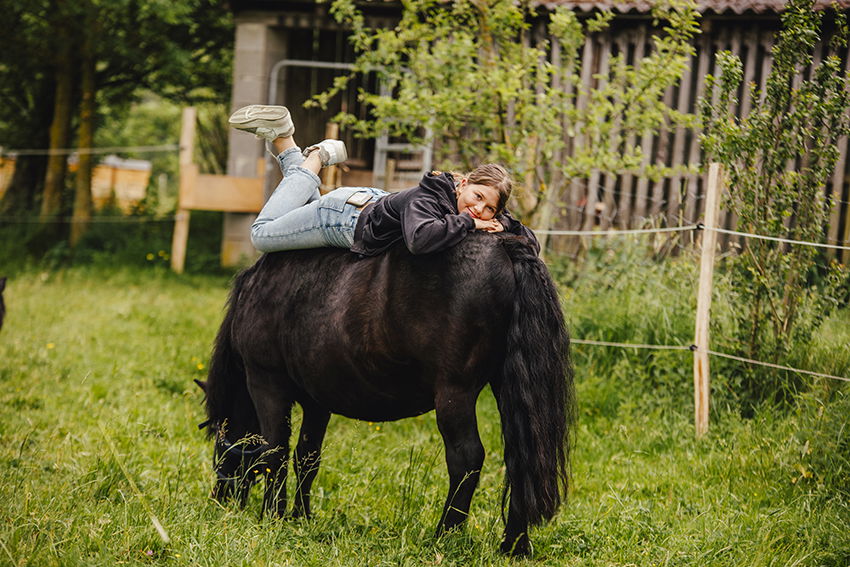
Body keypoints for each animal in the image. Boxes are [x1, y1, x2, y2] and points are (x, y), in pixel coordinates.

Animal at [202, 231, 572, 556]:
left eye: (220, 441)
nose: (220, 498)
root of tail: (506, 247)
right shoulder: (317, 403)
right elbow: (307, 458)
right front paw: (299, 516)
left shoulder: (266, 383)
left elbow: (273, 453)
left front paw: (272, 517)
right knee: (521, 459)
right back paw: (514, 545)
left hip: (455, 394)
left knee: (466, 459)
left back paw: (445, 536)